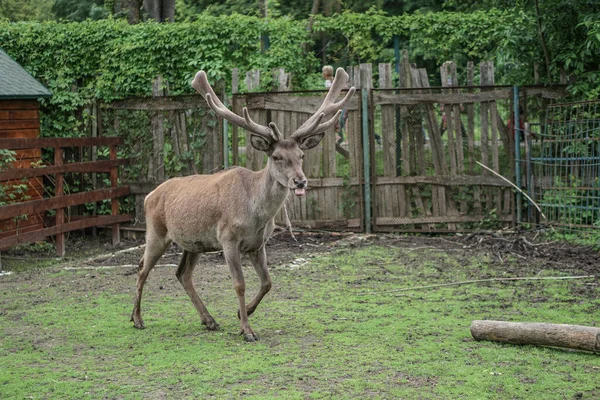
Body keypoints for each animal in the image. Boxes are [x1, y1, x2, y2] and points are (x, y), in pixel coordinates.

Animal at [131, 67, 354, 342]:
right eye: (276, 156)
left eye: (301, 155)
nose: (300, 181)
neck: (256, 215)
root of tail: (149, 195)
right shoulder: (228, 238)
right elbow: (239, 284)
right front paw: (247, 330)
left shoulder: (258, 244)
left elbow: (267, 282)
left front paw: (242, 313)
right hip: (156, 232)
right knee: (142, 268)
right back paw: (137, 319)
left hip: (194, 242)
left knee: (182, 274)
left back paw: (209, 320)